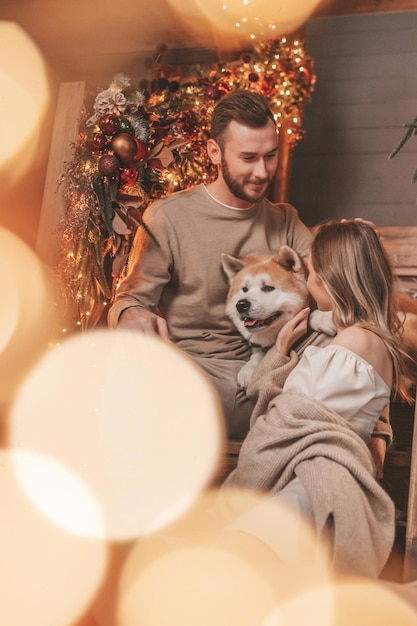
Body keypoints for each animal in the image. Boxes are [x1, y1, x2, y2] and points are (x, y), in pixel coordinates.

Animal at [223, 245, 416, 388]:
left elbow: (311, 314)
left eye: (268, 288)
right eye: (244, 289)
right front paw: (249, 368)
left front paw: (323, 318)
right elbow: (257, 351)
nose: (241, 305)